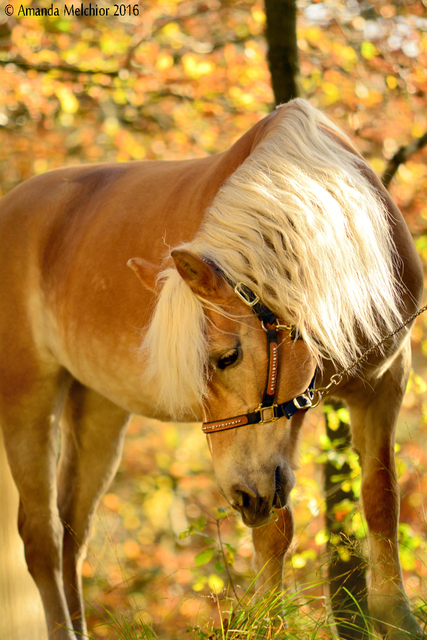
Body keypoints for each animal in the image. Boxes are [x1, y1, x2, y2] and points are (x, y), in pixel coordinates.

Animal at [0, 100, 424, 640]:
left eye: (227, 358)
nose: (241, 495)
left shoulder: (384, 384)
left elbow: (380, 498)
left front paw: (397, 619)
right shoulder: (290, 415)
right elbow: (276, 530)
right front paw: (269, 621)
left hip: (97, 407)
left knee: (74, 528)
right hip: (27, 397)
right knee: (43, 536)